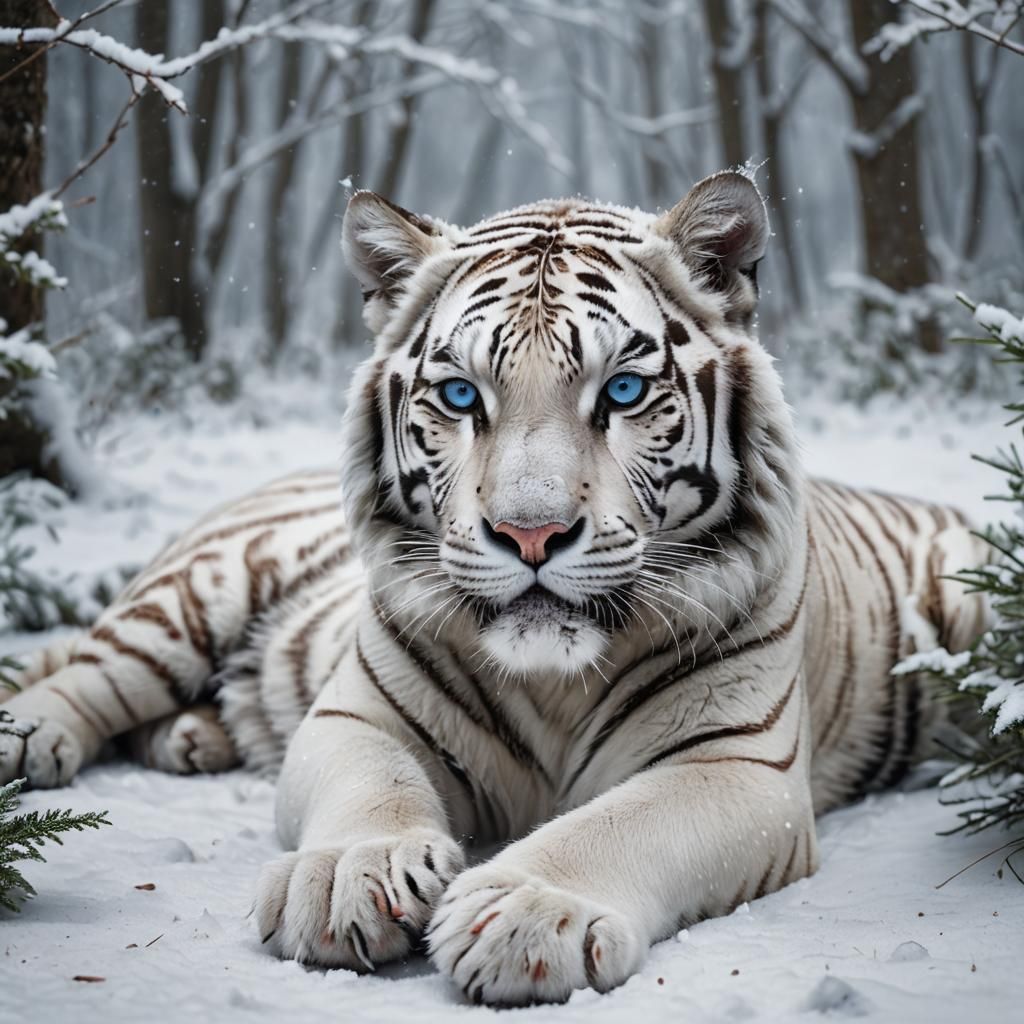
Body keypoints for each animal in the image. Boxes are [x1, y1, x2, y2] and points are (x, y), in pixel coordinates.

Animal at [0, 172, 988, 1006]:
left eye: (623, 391)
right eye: (460, 396)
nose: (530, 533)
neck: (554, 684)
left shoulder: (738, 765)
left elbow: (622, 822)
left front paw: (524, 912)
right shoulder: (356, 714)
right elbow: (373, 786)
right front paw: (351, 875)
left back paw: (191, 739)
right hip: (197, 594)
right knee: (89, 667)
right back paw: (31, 738)